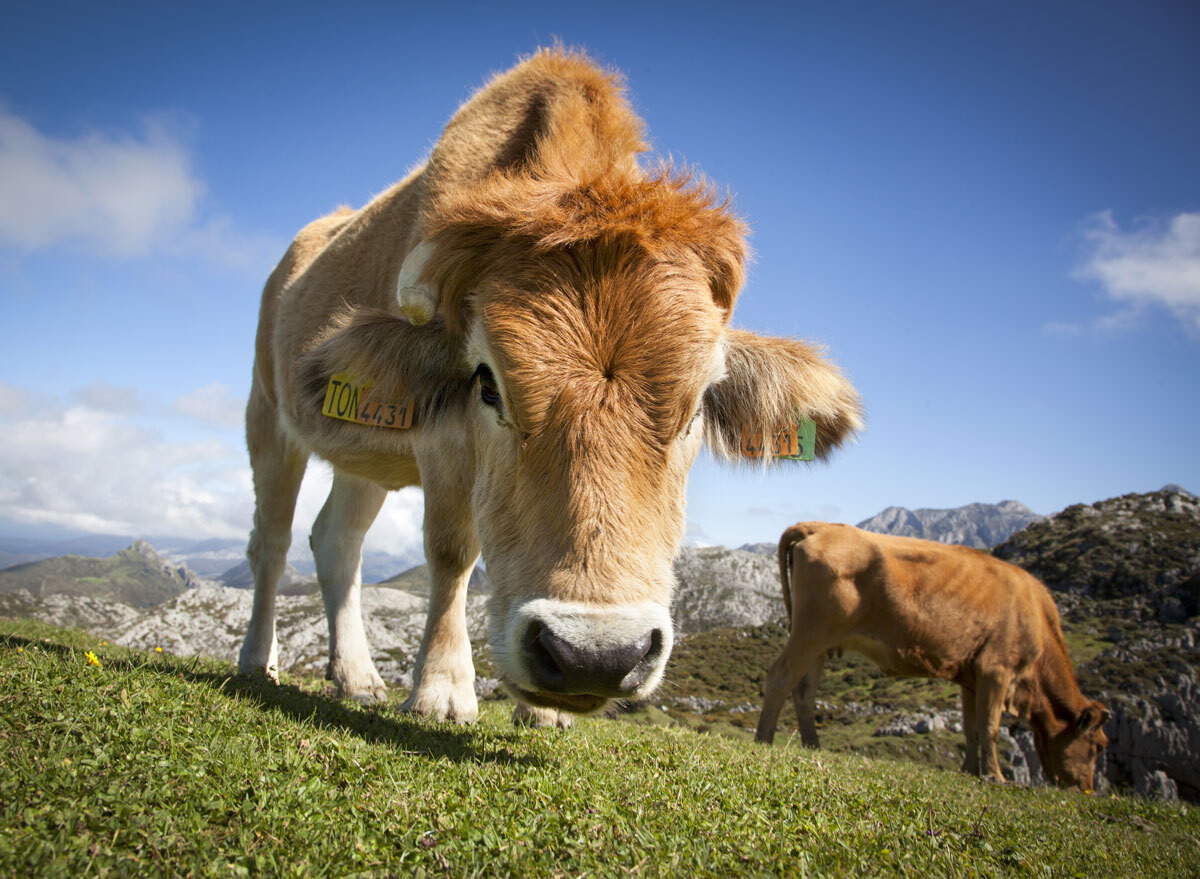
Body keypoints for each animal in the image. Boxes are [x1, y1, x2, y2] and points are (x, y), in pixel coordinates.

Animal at [234, 48, 864, 725]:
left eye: (697, 406)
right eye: (487, 384)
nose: (595, 654)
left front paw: (542, 713)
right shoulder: (442, 448)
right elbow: (452, 551)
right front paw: (441, 690)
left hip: (368, 452)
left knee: (337, 542)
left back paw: (355, 678)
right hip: (266, 419)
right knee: (271, 542)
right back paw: (257, 662)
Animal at [753, 518, 1108, 792]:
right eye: (1098, 746)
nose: (1087, 789)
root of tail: (816, 526)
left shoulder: (972, 676)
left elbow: (971, 726)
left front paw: (970, 771)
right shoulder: (997, 669)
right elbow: (991, 726)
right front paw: (996, 776)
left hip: (820, 643)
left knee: (804, 690)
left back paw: (813, 746)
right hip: (812, 632)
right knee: (780, 677)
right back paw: (763, 741)